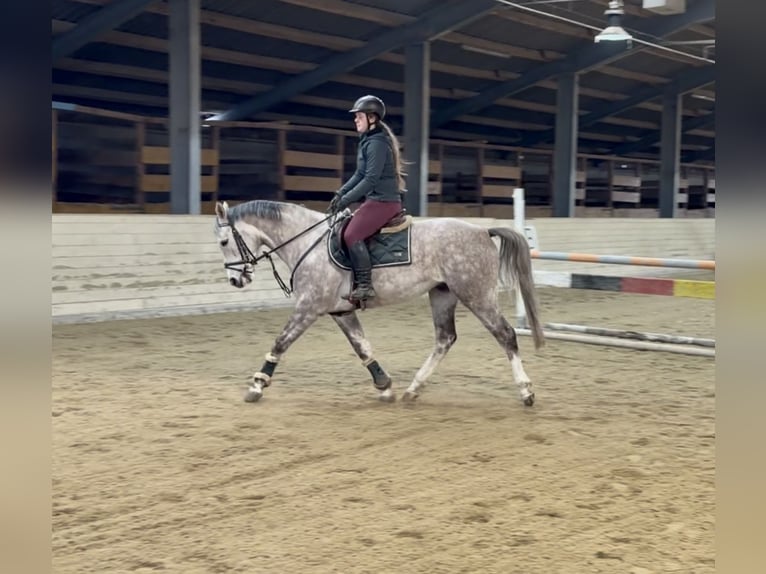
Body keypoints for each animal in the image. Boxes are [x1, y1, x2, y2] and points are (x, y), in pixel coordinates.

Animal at [212, 199, 545, 406]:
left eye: (224, 242)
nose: (235, 280)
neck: (308, 243)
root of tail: (482, 230)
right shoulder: (340, 311)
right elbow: (362, 347)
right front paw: (384, 387)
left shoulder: (309, 307)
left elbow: (281, 342)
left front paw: (256, 385)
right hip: (443, 294)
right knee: (444, 339)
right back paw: (413, 389)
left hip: (476, 294)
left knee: (505, 335)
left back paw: (526, 391)